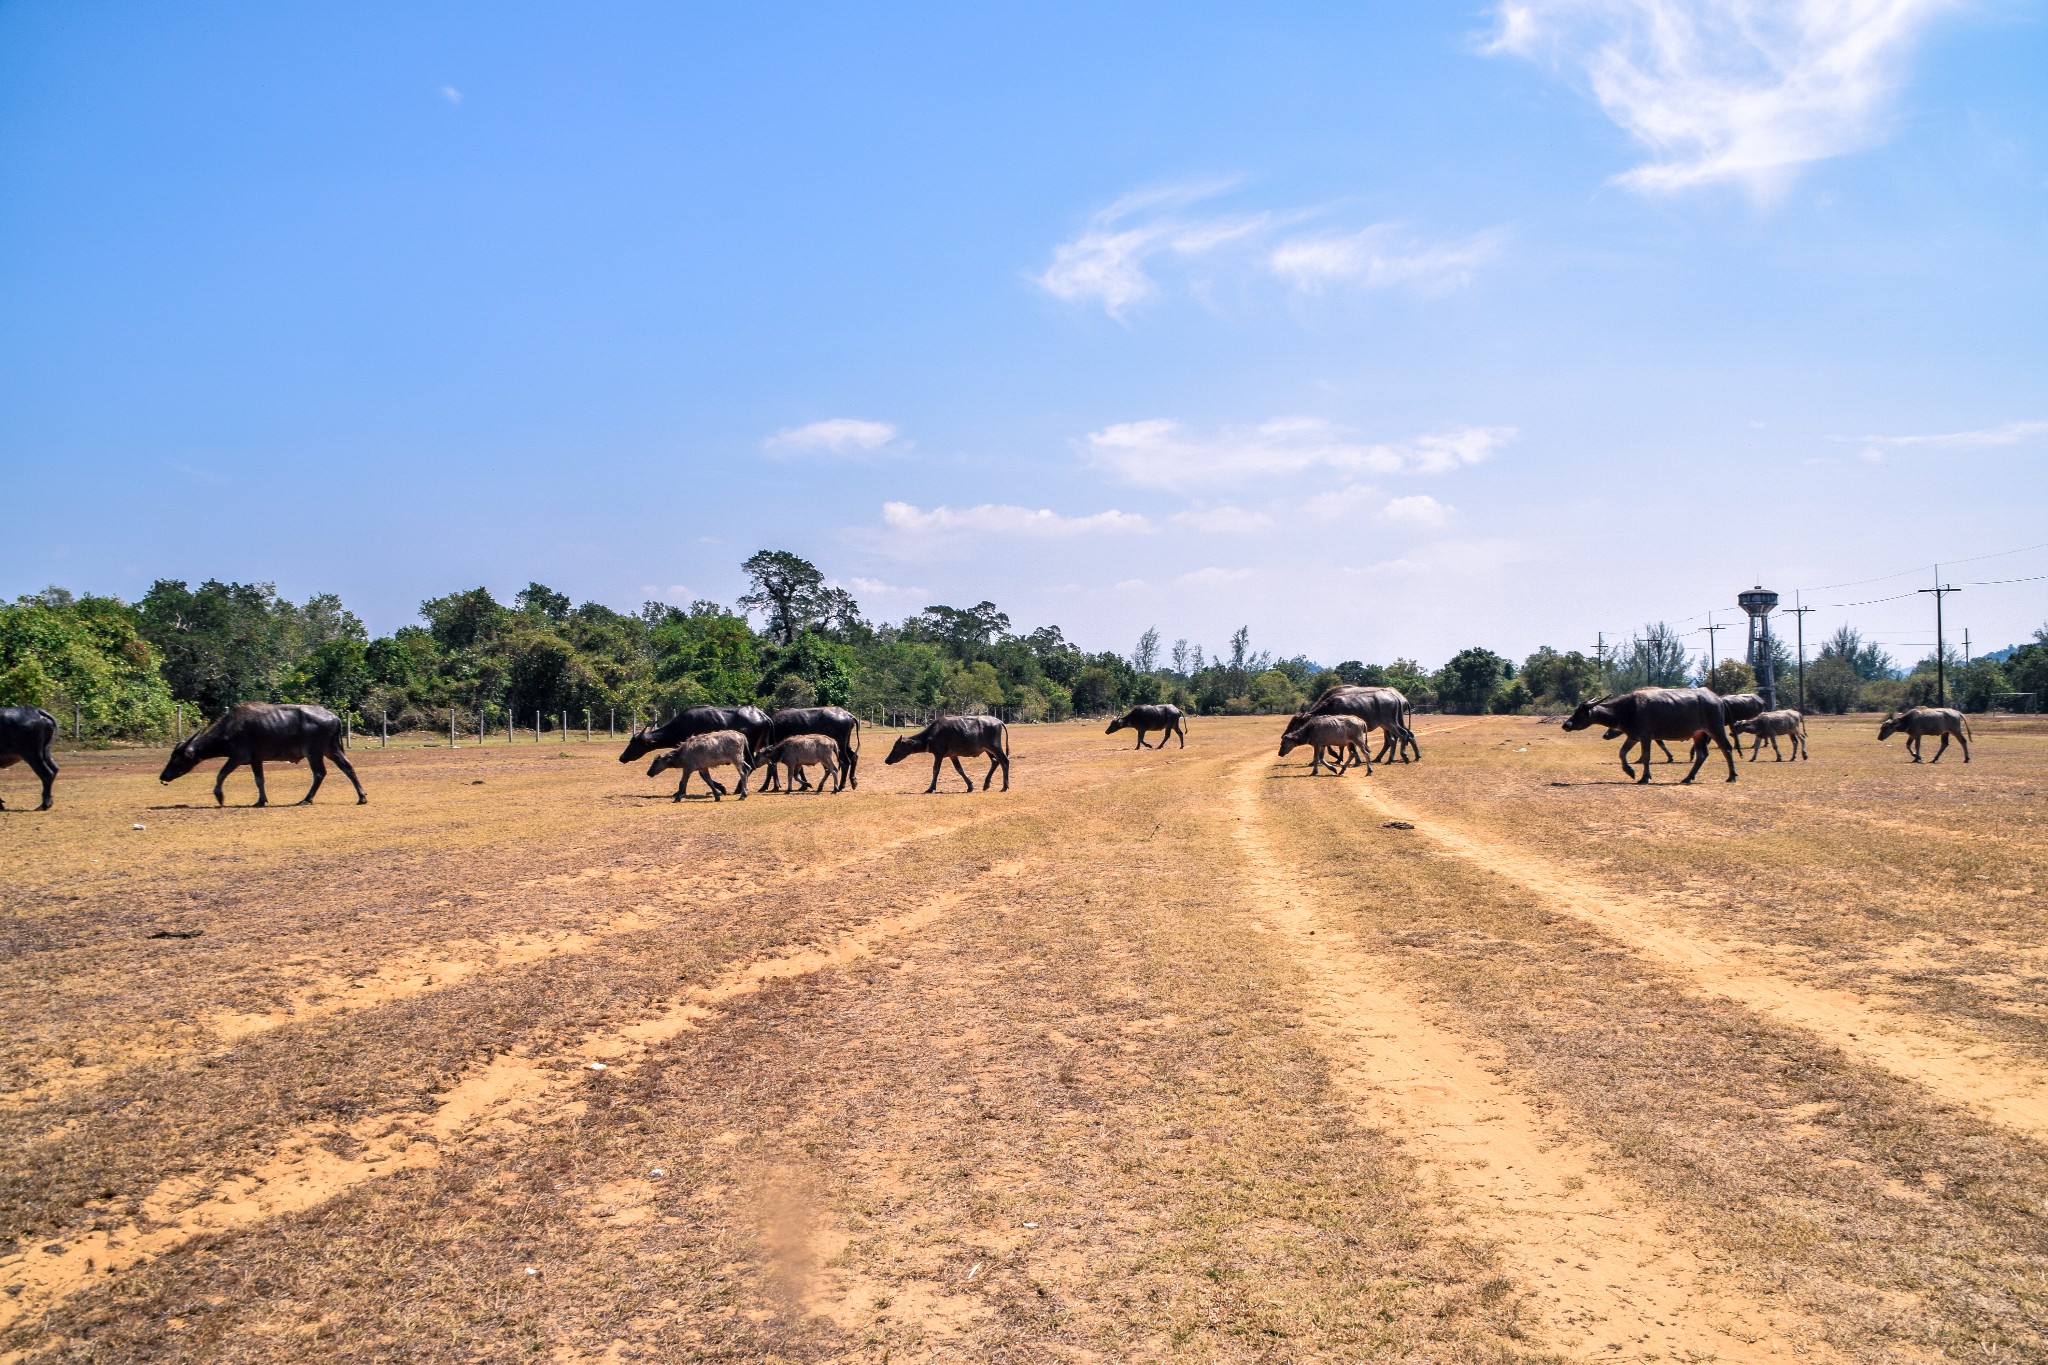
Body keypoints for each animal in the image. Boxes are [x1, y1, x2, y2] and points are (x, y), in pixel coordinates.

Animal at [161, 699, 370, 806]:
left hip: (314, 752)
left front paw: (220, 797)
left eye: (175, 757)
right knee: (347, 767)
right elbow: (259, 780)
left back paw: (306, 799)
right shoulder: (256, 760)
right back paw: (361, 797)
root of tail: (334, 716)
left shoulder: (237, 757)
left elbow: (221, 774)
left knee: (319, 773)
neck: (229, 729)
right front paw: (261, 800)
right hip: (330, 749)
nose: (163, 776)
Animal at [1556, 687, 1736, 785]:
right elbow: (1622, 753)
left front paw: (1644, 777)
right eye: (1575, 710)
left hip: (1715, 728)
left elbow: (1646, 757)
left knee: (1726, 748)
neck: (1627, 709)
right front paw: (1630, 772)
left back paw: (1731, 776)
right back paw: (1687, 777)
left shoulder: (1645, 736)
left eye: (1580, 712)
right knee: (1702, 754)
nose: (1566, 725)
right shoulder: (1633, 736)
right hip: (1698, 734)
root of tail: (1717, 698)